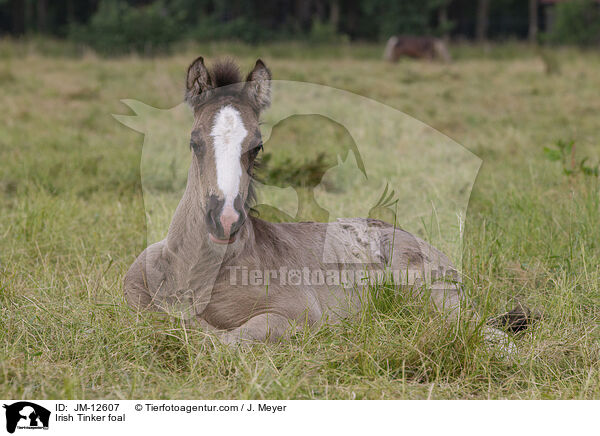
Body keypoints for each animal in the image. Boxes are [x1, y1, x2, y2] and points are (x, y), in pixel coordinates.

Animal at [123, 56, 516, 350]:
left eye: (257, 146)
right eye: (194, 141)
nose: (225, 219)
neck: (194, 270)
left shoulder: (295, 313)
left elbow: (226, 337)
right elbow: (162, 321)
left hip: (436, 298)